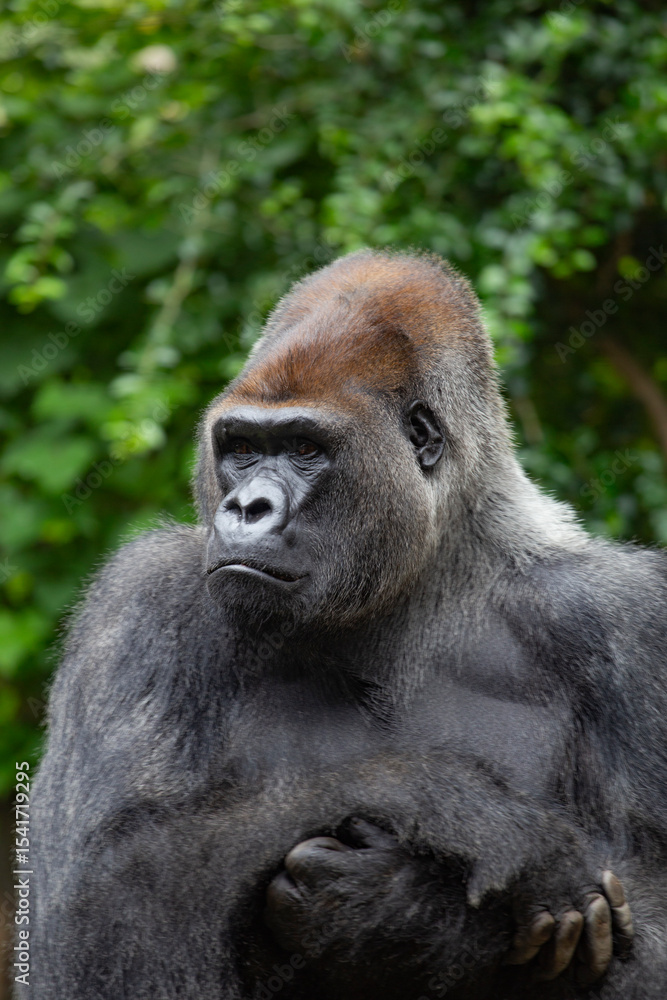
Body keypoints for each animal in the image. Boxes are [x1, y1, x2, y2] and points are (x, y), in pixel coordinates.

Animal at [23, 249, 667, 1000]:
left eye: (305, 448)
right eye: (240, 447)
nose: (246, 508)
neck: (420, 587)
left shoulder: (629, 625)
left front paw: (394, 915)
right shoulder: (136, 607)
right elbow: (100, 903)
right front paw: (447, 805)